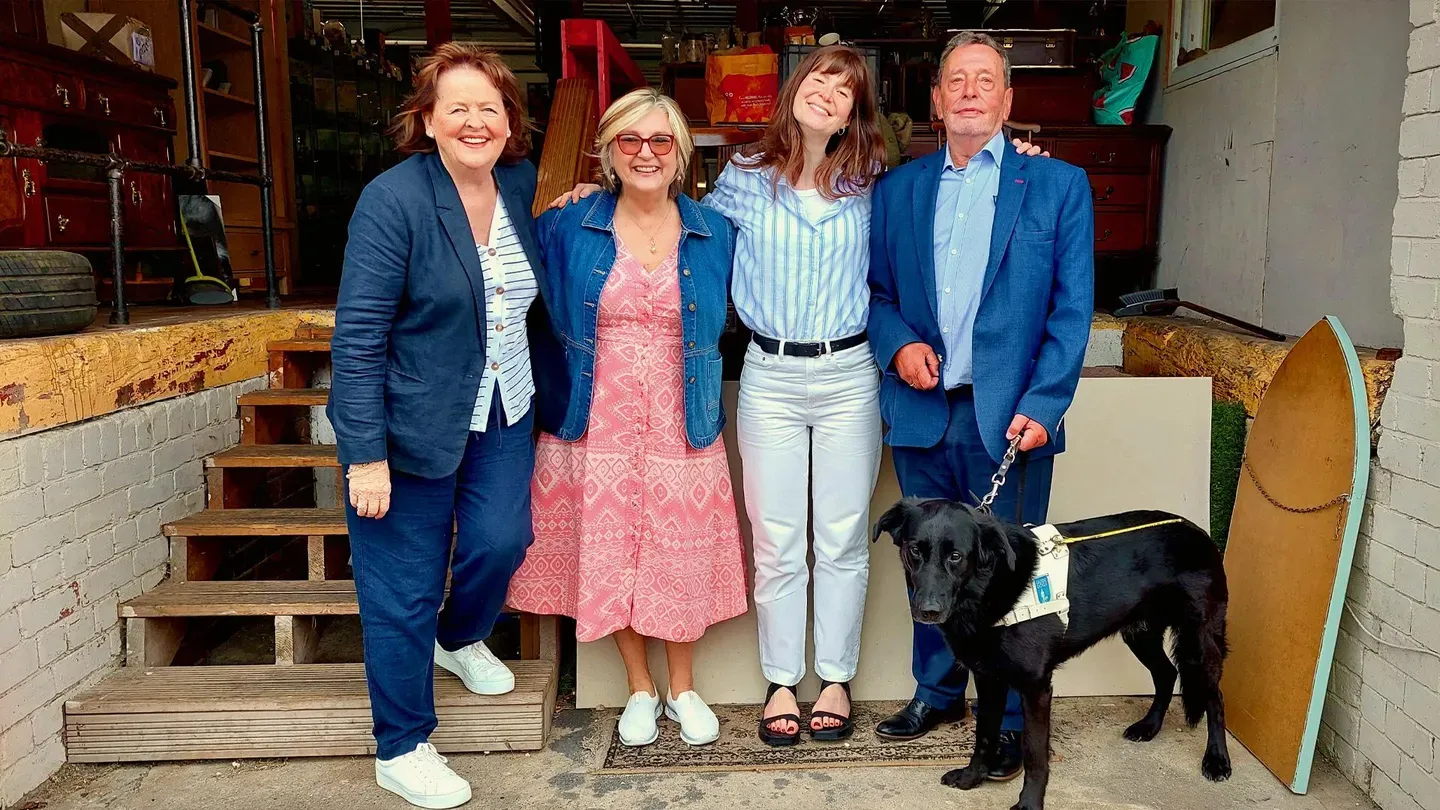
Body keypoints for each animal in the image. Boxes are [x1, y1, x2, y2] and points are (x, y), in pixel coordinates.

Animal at [869, 495, 1232, 807]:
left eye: (956, 556)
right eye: (915, 551)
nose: (928, 611)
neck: (988, 587)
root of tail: (1195, 528)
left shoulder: (1035, 687)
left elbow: (1034, 752)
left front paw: (1029, 804)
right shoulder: (989, 678)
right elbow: (984, 734)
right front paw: (972, 778)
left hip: (1201, 641)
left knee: (1214, 697)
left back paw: (1216, 760)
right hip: (1139, 633)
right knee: (1166, 673)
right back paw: (1149, 727)